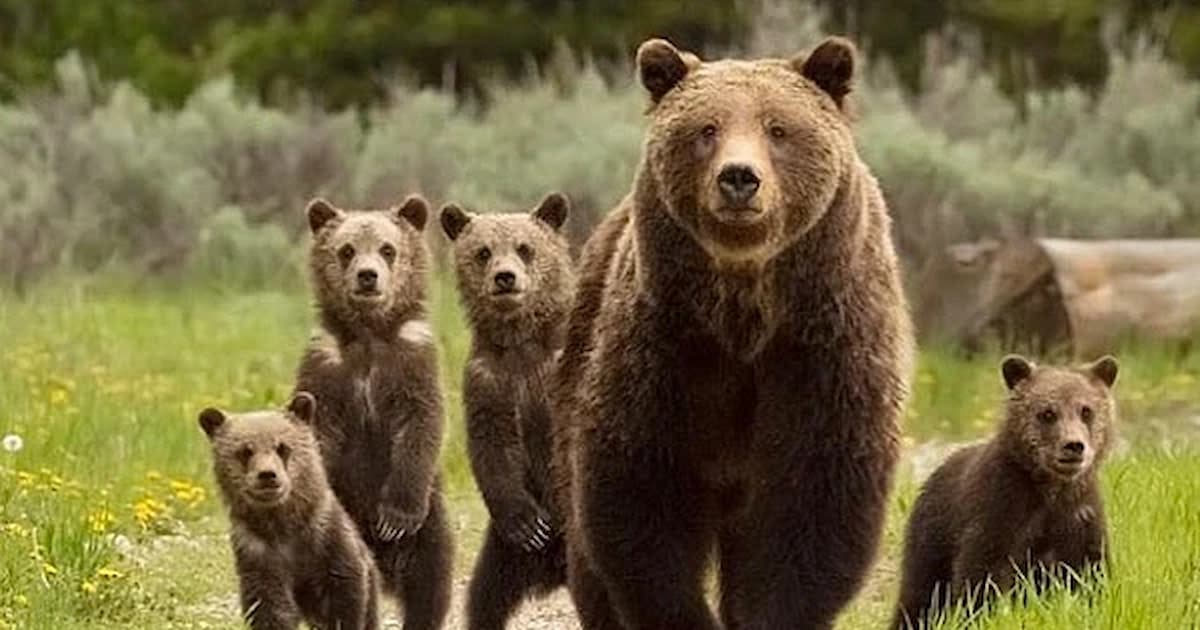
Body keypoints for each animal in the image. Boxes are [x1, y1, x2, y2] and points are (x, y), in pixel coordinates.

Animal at [201, 391, 376, 624]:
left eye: (282, 447)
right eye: (245, 451)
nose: (267, 475)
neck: (283, 526)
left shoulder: (330, 545)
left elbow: (345, 600)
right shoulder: (259, 555)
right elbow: (270, 607)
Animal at [295, 196, 453, 628]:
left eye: (388, 249)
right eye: (347, 250)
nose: (368, 277)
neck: (369, 335)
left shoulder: (411, 361)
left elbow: (421, 423)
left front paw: (395, 518)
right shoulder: (327, 368)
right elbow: (319, 429)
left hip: (432, 520)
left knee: (431, 578)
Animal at [441, 193, 576, 628]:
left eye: (525, 248)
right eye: (483, 251)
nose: (505, 278)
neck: (521, 343)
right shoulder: (488, 381)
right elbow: (492, 446)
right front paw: (531, 526)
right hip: (500, 554)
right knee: (485, 598)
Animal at [556, 35, 912, 628]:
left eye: (778, 128)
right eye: (706, 129)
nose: (740, 177)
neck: (745, 316)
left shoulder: (823, 350)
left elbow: (811, 501)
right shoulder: (667, 346)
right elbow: (643, 492)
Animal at [892, 355, 1113, 624]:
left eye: (1086, 410)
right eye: (1048, 413)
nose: (1073, 446)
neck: (1050, 490)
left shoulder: (1080, 517)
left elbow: (1090, 575)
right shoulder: (999, 511)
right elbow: (981, 575)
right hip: (931, 539)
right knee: (920, 596)